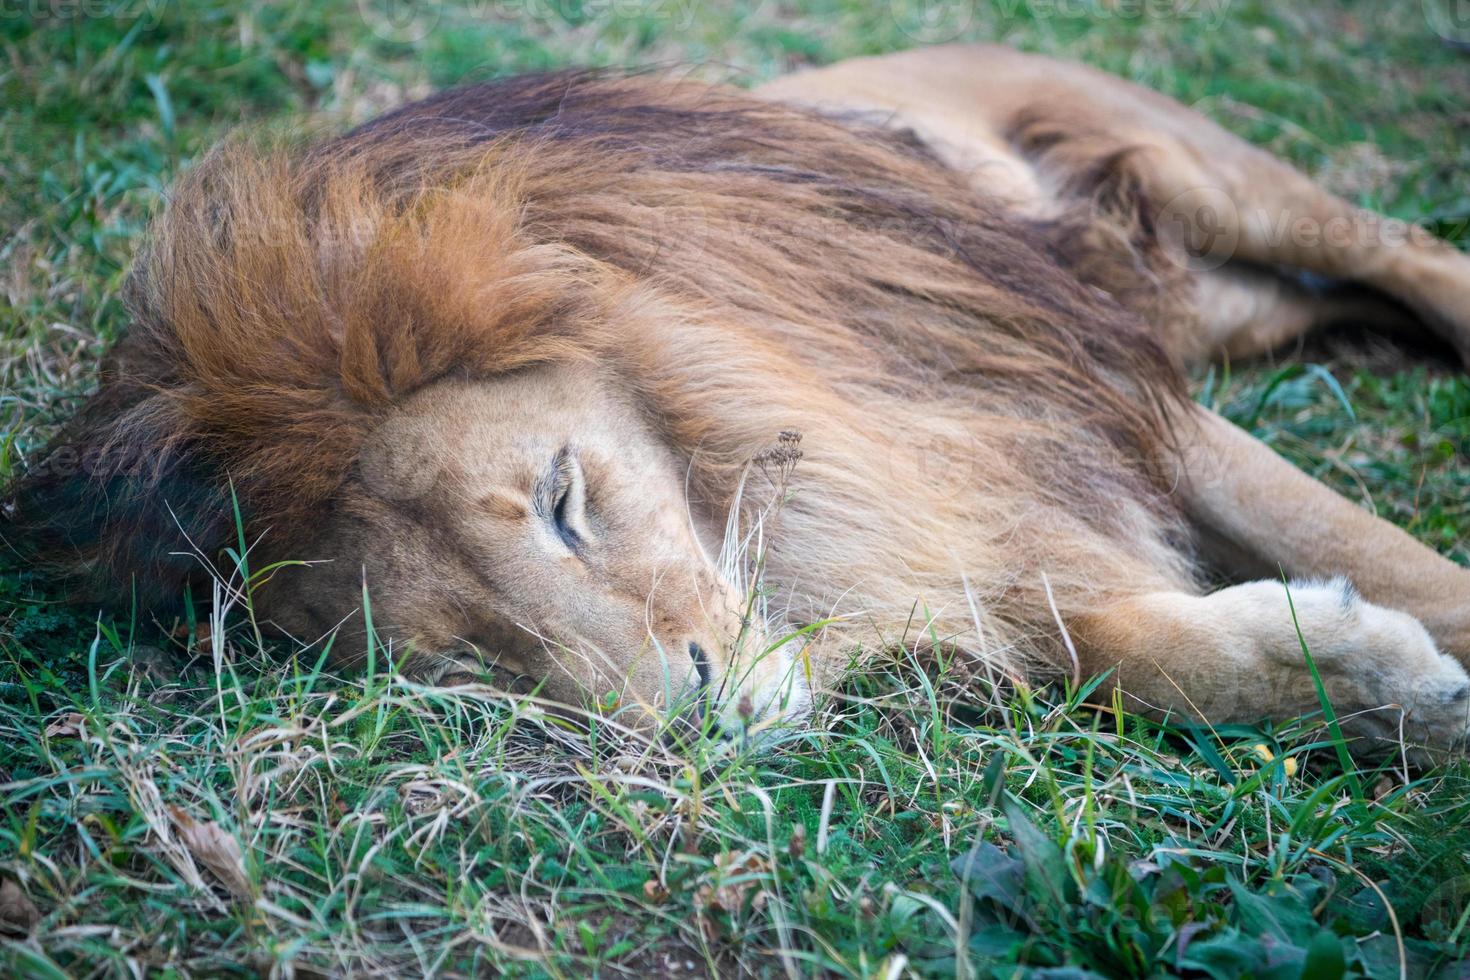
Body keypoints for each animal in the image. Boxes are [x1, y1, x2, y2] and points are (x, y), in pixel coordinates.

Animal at [11, 44, 1470, 752]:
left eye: (563, 500)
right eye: (474, 661)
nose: (695, 716)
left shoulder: (1070, 395)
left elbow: (1364, 547)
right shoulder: (982, 521)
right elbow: (1123, 648)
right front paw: (1366, 681)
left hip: (1201, 174)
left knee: (1400, 247)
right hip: (1216, 302)